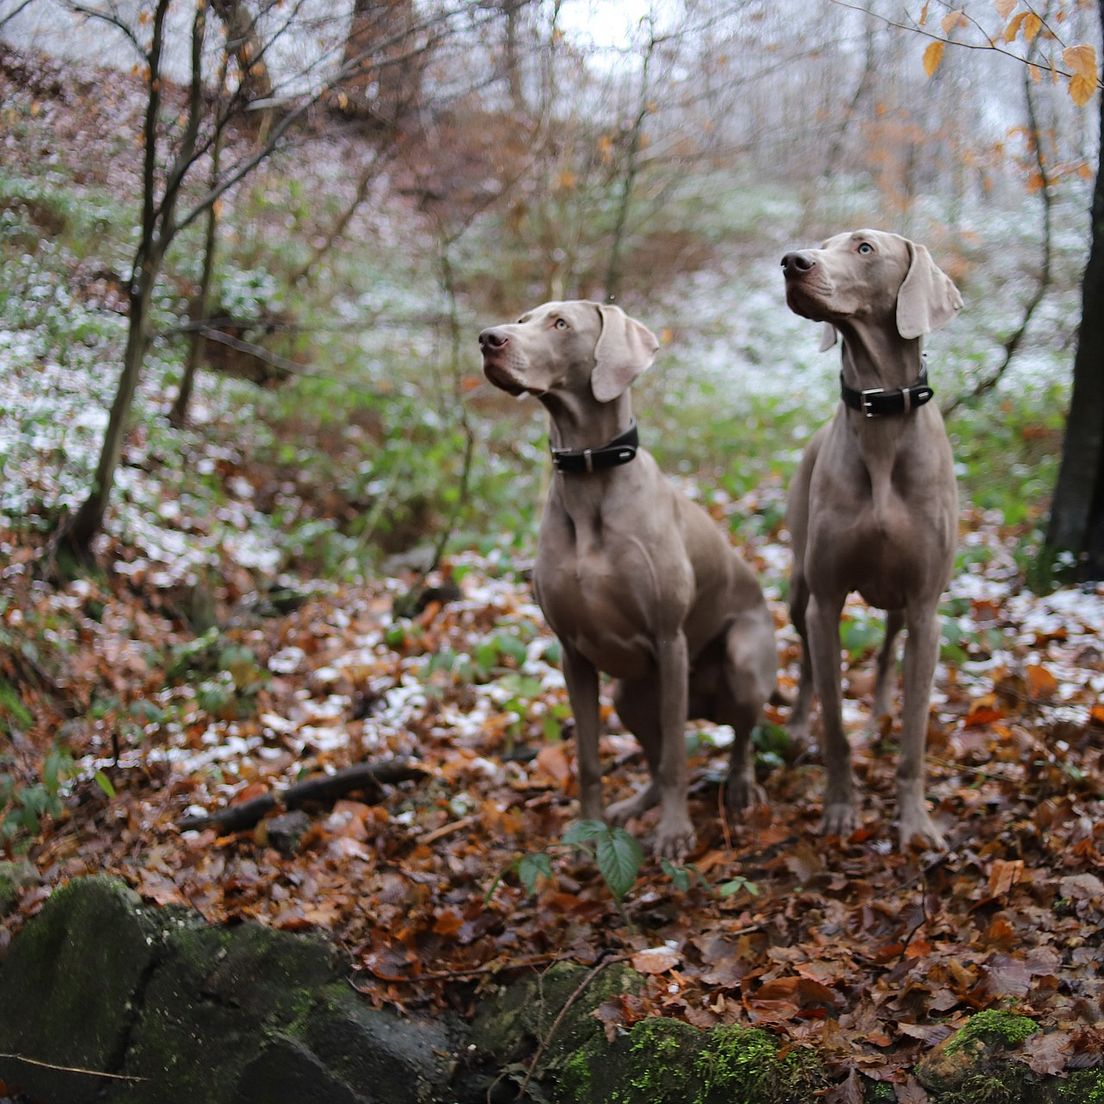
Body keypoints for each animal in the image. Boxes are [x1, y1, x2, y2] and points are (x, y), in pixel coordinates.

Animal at [476, 302, 777, 861]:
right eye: (523, 319)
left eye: (560, 324)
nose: (488, 339)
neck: (589, 474)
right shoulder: (572, 653)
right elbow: (590, 759)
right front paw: (586, 835)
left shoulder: (670, 640)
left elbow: (678, 755)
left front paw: (675, 834)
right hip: (629, 696)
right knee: (654, 759)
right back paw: (635, 806)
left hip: (743, 664)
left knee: (739, 736)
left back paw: (741, 786)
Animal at [781, 228, 962, 847]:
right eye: (822, 243)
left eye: (864, 248)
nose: (791, 261)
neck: (881, 415)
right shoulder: (827, 600)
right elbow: (835, 724)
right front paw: (840, 807)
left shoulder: (927, 608)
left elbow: (916, 734)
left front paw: (916, 822)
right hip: (798, 586)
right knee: (807, 664)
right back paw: (796, 724)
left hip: (902, 603)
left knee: (887, 652)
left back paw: (881, 712)